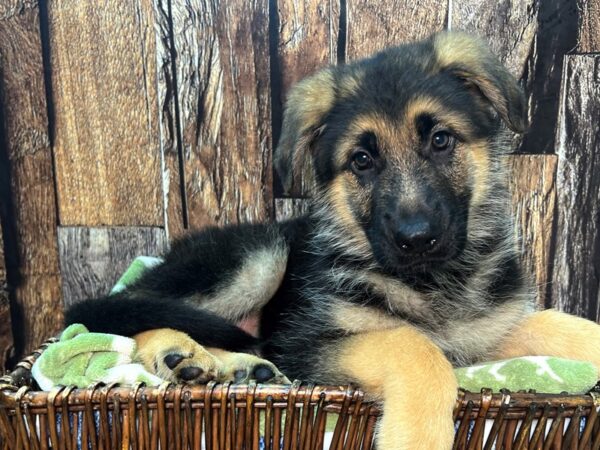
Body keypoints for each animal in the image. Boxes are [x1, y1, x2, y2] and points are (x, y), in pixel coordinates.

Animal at [65, 30, 600, 446]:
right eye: (362, 160)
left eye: (441, 140)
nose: (416, 239)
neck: (431, 281)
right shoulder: (307, 343)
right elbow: (411, 343)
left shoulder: (488, 331)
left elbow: (555, 322)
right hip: (259, 257)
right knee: (128, 308)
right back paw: (178, 353)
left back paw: (238, 368)